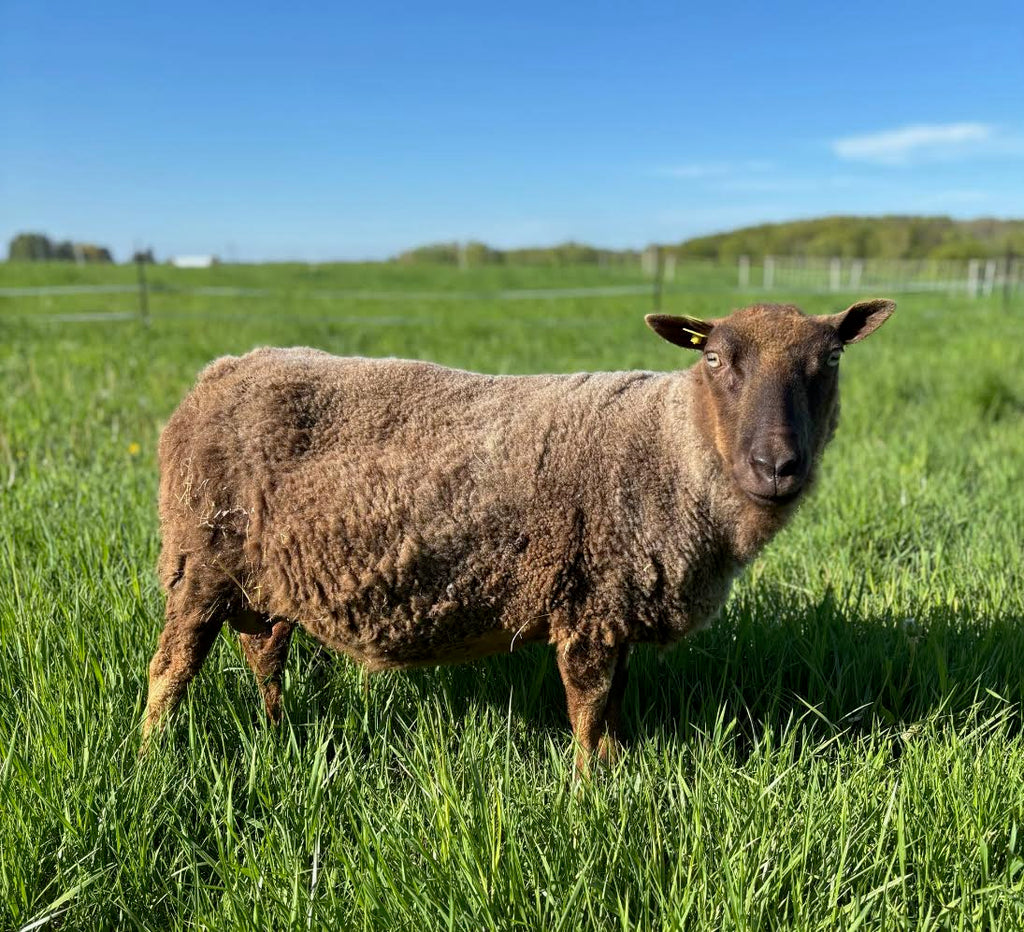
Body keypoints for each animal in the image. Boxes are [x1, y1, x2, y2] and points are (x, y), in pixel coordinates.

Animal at [142, 298, 894, 766]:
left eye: (830, 360)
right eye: (714, 359)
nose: (777, 466)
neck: (674, 447)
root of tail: (222, 370)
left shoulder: (616, 605)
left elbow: (613, 707)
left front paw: (617, 772)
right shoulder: (588, 604)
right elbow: (587, 710)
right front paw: (590, 794)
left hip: (267, 579)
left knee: (263, 654)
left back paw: (277, 733)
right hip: (199, 560)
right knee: (171, 669)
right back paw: (152, 758)